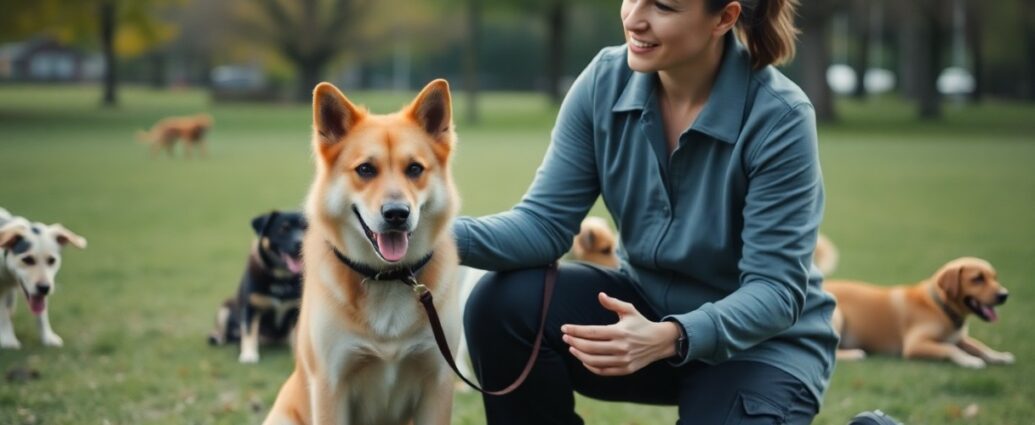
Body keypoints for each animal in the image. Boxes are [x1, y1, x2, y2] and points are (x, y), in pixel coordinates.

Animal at [0, 206, 86, 349]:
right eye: (27, 259)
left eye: (51, 260)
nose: (44, 288)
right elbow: (3, 314)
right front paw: (8, 340)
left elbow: (41, 314)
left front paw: (47, 337)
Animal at [208, 210, 304, 363]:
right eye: (283, 229)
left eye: (305, 227)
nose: (300, 242)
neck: (281, 278)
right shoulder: (251, 308)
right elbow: (249, 332)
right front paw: (248, 356)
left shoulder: (296, 310)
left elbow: (297, 336)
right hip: (225, 307)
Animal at [828, 256, 1014, 370]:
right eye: (977, 278)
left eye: (994, 277)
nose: (1004, 295)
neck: (940, 306)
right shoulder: (915, 344)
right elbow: (949, 348)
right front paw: (970, 360)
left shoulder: (959, 338)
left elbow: (980, 347)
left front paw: (999, 356)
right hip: (837, 315)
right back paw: (854, 354)